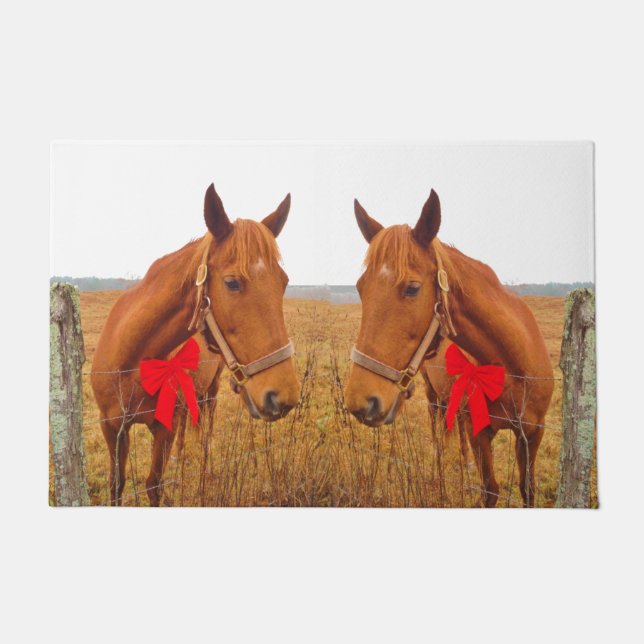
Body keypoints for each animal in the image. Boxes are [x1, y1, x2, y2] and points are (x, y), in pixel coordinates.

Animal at [91, 184, 301, 506]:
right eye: (232, 283)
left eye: (284, 281)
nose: (283, 393)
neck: (132, 362)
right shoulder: (111, 426)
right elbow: (117, 484)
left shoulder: (163, 427)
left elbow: (153, 485)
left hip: (211, 391)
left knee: (206, 430)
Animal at [344, 190, 554, 507]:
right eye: (359, 287)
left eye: (412, 288)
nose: (361, 399)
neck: (513, 367)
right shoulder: (481, 433)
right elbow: (491, 489)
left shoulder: (533, 433)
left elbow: (526, 489)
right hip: (433, 396)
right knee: (438, 431)